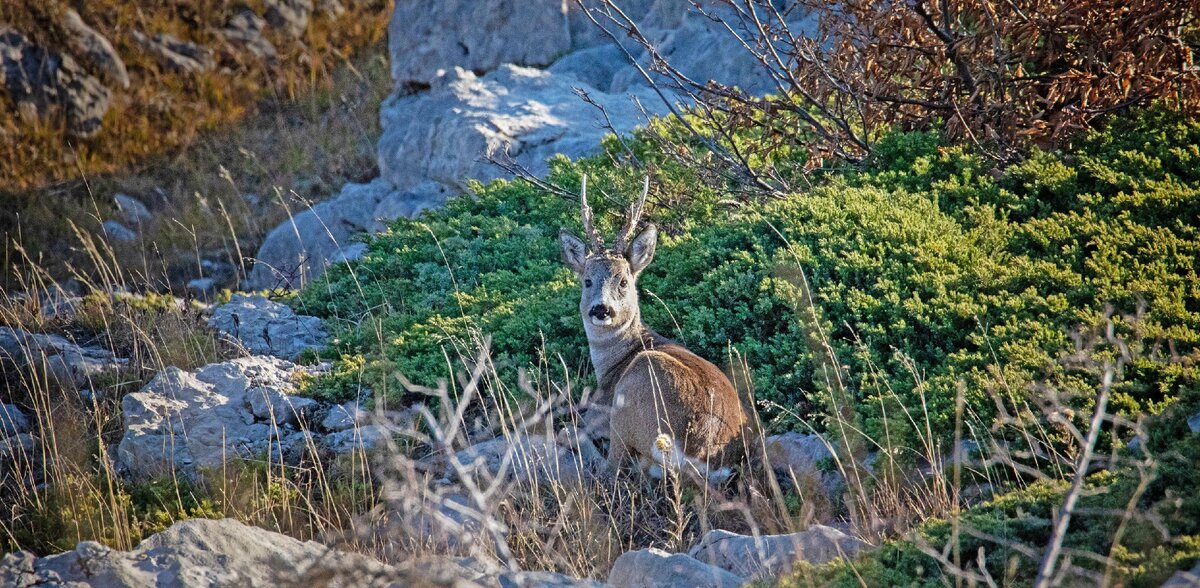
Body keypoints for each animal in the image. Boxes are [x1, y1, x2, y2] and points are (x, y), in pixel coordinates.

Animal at [556, 177, 744, 482]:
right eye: (587, 281)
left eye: (623, 281)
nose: (601, 309)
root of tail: (700, 458)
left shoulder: (602, 410)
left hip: (630, 401)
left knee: (609, 467)